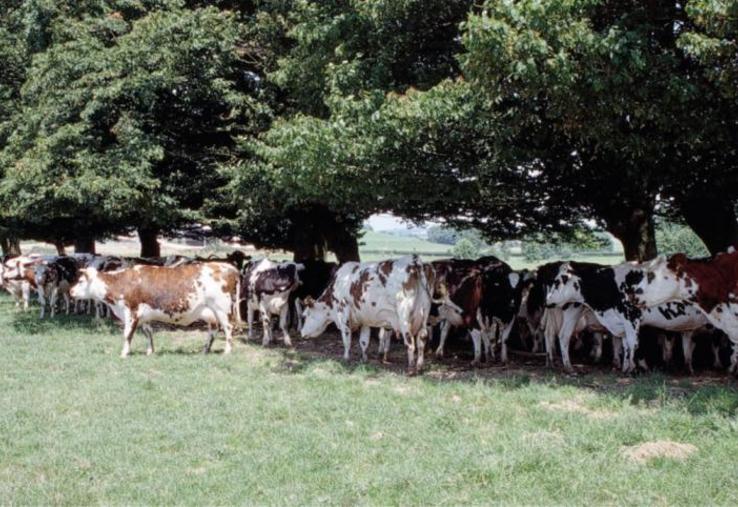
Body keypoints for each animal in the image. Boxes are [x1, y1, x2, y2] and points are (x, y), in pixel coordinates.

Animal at [70, 262, 240, 357]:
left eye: (80, 281)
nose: (71, 291)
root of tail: (228, 266)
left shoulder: (131, 312)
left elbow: (127, 334)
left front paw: (124, 353)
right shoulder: (144, 316)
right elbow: (148, 333)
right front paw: (150, 351)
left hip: (222, 308)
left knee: (228, 328)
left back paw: (227, 351)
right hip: (208, 312)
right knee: (214, 328)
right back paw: (205, 351)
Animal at [300, 255, 434, 373]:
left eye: (305, 315)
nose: (302, 333)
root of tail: (414, 261)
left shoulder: (343, 313)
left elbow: (347, 339)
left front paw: (346, 358)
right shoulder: (365, 319)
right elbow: (364, 341)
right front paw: (364, 359)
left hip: (404, 318)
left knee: (410, 343)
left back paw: (411, 369)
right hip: (424, 314)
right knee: (422, 340)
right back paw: (419, 366)